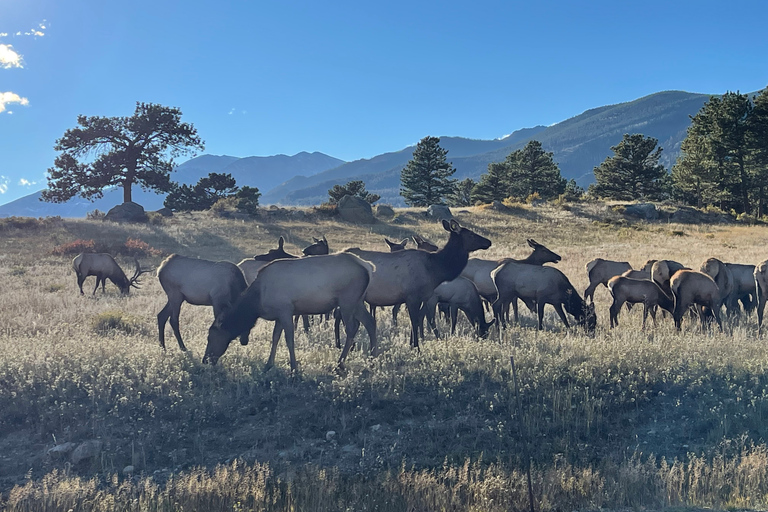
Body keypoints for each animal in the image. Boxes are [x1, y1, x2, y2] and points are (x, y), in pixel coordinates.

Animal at [205, 253, 377, 370]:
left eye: (210, 337)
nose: (205, 359)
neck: (257, 301)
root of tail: (368, 266)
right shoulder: (279, 315)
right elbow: (275, 338)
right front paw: (268, 365)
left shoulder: (286, 310)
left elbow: (289, 340)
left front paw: (294, 368)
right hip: (357, 301)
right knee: (370, 322)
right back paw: (373, 359)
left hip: (347, 300)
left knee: (352, 328)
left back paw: (340, 364)